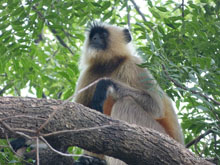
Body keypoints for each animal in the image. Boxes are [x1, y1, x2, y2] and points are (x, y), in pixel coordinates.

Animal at [74, 22, 184, 164]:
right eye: (93, 36)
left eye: (103, 34)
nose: (94, 39)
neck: (109, 64)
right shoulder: (88, 74)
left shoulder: (134, 64)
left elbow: (156, 107)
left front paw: (105, 84)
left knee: (126, 103)